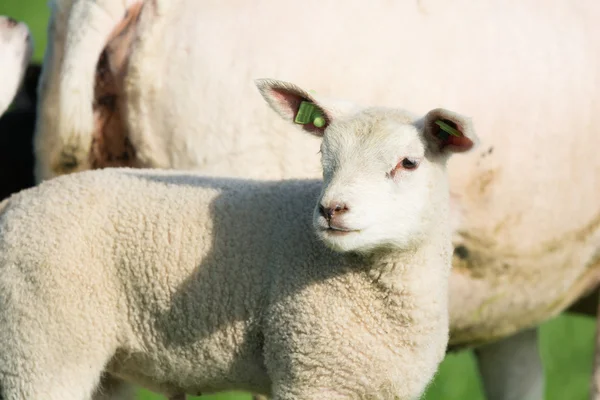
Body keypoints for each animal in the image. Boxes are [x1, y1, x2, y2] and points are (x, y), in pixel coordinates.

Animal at [0, 79, 478, 400]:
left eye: (408, 163)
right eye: (324, 157)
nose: (331, 209)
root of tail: (13, 205)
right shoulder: (310, 373)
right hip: (38, 345)